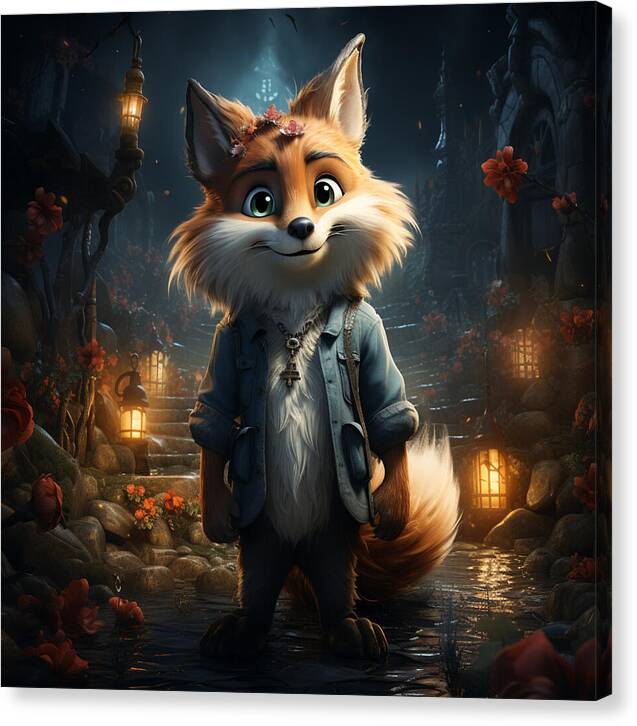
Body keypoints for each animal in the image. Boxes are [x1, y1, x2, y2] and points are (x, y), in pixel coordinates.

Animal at [169, 34, 459, 660]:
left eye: (325, 192)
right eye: (260, 202)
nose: (302, 228)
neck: (296, 312)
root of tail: (297, 552)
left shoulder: (369, 336)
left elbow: (386, 409)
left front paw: (394, 509)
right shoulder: (228, 343)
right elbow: (213, 420)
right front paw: (215, 518)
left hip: (333, 533)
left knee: (334, 581)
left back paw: (348, 629)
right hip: (262, 537)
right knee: (257, 582)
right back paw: (243, 630)